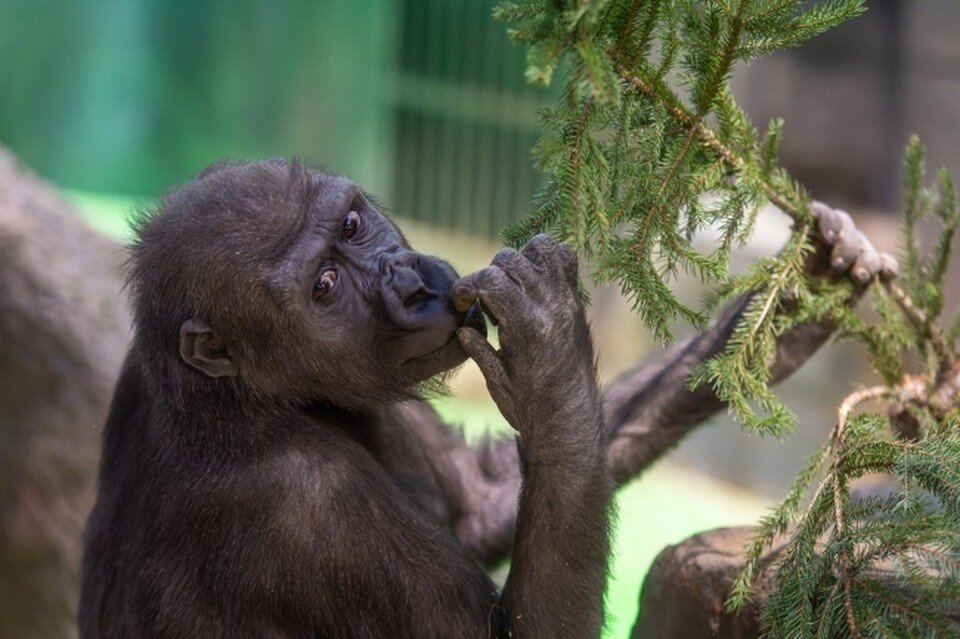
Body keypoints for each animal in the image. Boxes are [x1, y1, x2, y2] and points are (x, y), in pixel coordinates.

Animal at [79, 160, 612, 639]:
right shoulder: (311, 499)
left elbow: (481, 502)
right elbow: (513, 630)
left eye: (351, 226)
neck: (237, 399)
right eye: (324, 285)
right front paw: (551, 364)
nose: (410, 285)